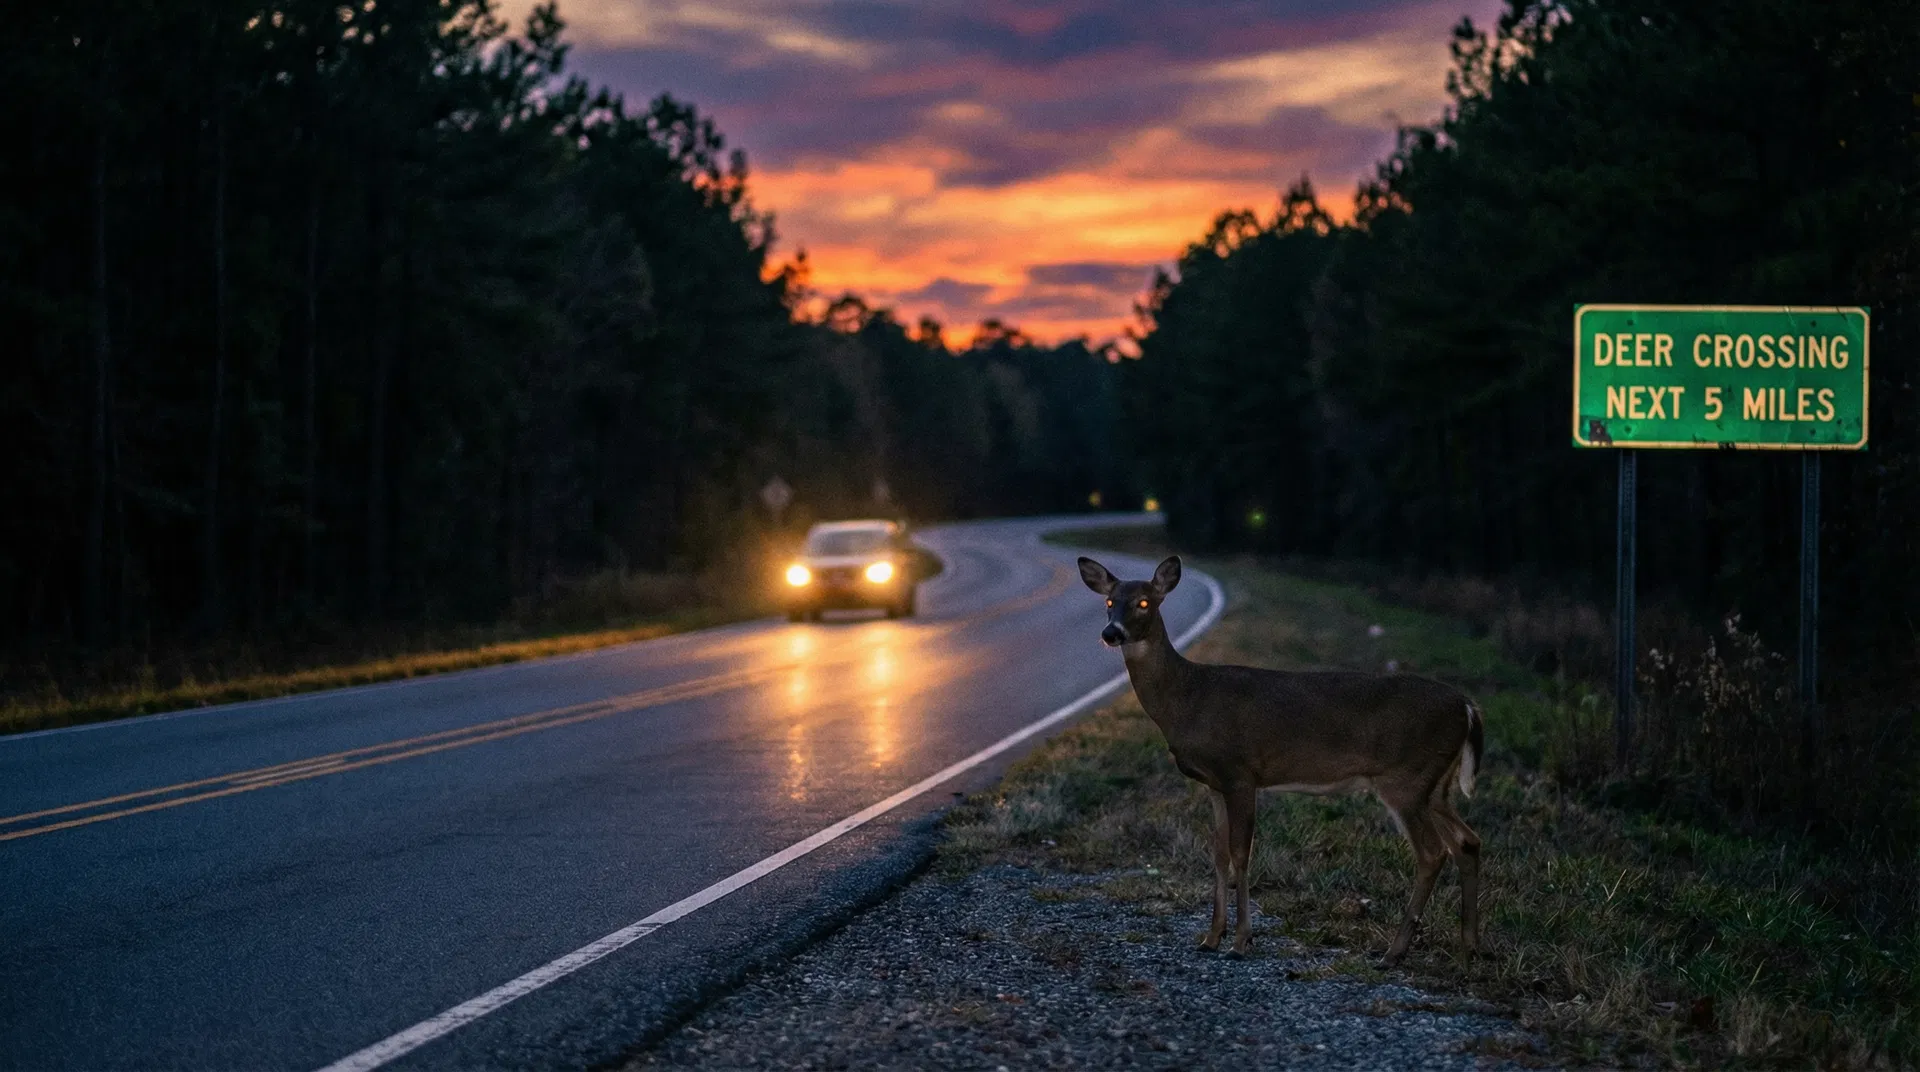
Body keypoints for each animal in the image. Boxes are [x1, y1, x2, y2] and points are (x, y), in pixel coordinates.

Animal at [1077, 554, 1484, 966]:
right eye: (1109, 601)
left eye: (1144, 601)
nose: (1111, 633)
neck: (1188, 697)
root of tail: (1467, 706)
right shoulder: (1214, 783)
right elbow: (1218, 854)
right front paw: (1211, 937)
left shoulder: (1240, 772)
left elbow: (1241, 853)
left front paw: (1241, 941)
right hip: (1435, 785)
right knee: (1467, 841)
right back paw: (1469, 946)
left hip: (1405, 778)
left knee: (1432, 852)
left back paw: (1395, 952)